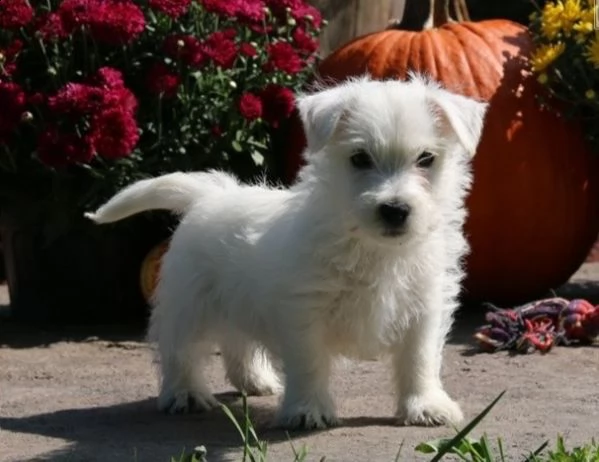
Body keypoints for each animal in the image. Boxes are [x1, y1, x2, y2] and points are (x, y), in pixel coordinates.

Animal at [85, 74, 488, 432]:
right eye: (359, 158)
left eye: (426, 158)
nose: (395, 209)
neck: (372, 248)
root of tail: (209, 195)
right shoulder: (304, 311)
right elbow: (309, 363)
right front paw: (307, 410)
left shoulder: (423, 308)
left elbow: (419, 359)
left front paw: (426, 406)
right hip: (189, 303)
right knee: (180, 349)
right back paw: (185, 394)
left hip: (237, 299)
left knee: (237, 342)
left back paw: (254, 380)